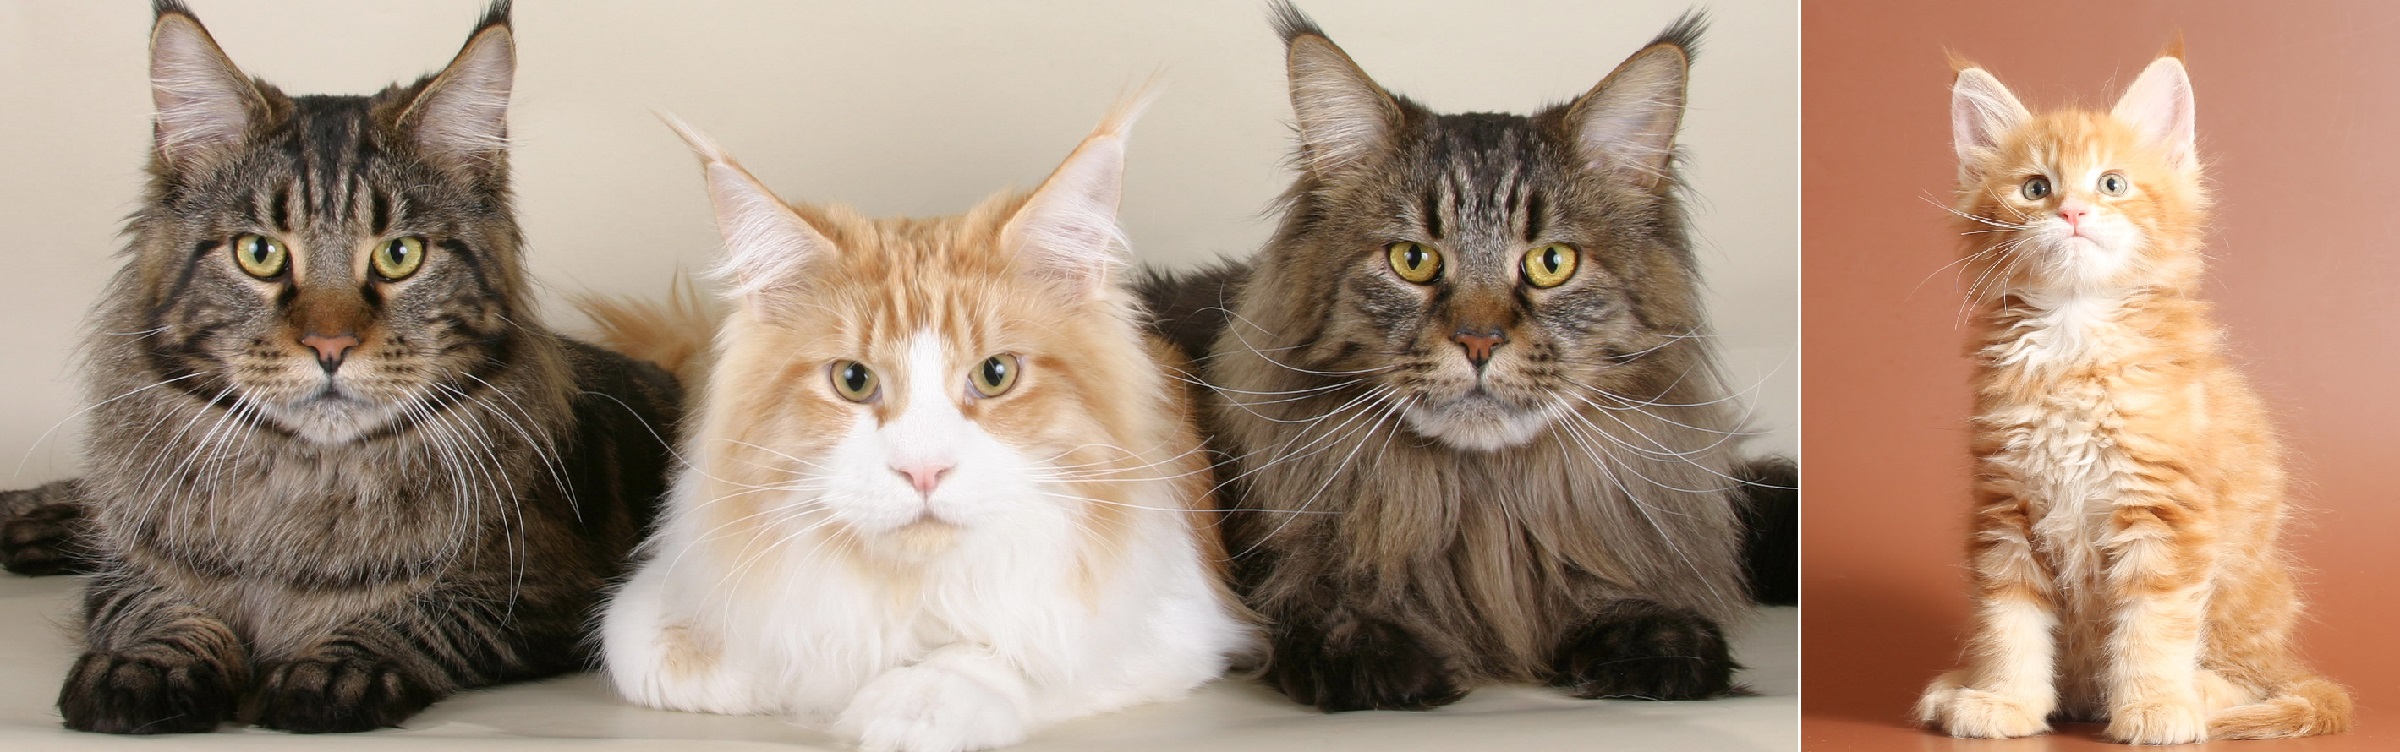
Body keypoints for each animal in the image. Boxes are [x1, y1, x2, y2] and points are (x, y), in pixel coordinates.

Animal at [0, 1, 681, 730]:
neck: (302, 481)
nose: (330, 347)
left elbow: (416, 616)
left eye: (400, 255)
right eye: (260, 253)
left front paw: (332, 671)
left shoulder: (539, 592)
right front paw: (148, 667)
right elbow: (156, 609)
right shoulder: (127, 572)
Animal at [595, 103, 1257, 749]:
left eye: (995, 374)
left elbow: (1000, 654)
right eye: (853, 380)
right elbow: (684, 653)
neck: (912, 588)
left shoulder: (1174, 620)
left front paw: (907, 703)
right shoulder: (664, 593)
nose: (923, 470)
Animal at [1920, 55, 2352, 739]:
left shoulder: (2165, 512)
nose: (2073, 212)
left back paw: (2198, 693)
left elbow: (2153, 627)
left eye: (2112, 184)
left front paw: (2155, 706)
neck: (2073, 337)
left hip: (2248, 597)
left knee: (2251, 678)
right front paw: (2004, 699)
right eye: (2035, 188)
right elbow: (2009, 624)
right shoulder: (2006, 513)